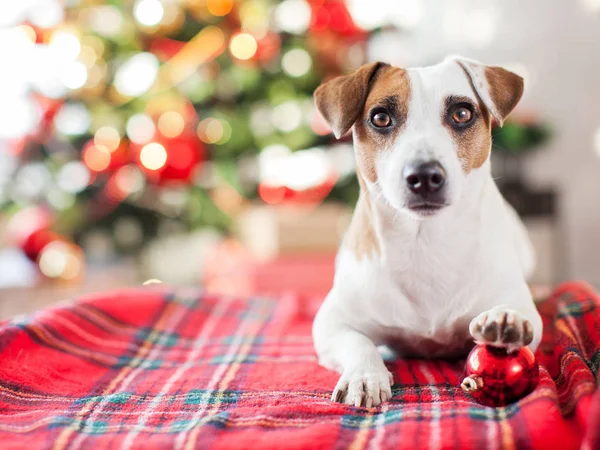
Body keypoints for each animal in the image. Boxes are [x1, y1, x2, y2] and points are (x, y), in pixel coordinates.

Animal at [314, 56, 544, 408]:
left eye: (462, 113)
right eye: (380, 118)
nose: (424, 175)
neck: (425, 242)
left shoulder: (521, 304)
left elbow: (520, 315)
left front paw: (506, 322)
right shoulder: (332, 321)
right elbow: (358, 343)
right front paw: (364, 375)